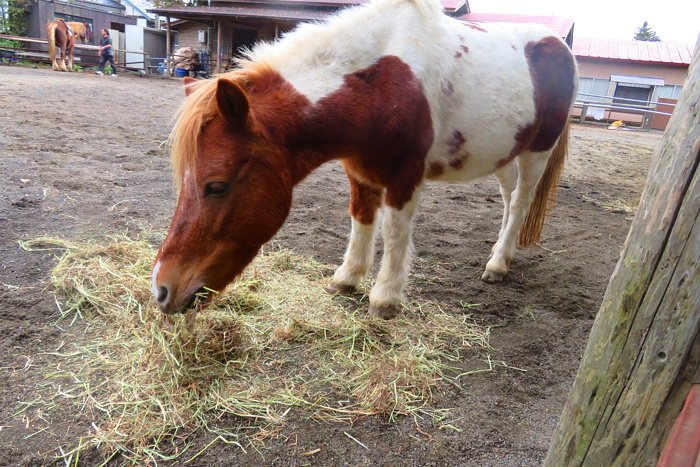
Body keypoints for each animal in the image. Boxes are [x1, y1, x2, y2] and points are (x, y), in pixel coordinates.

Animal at [150, 0, 576, 320]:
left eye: (216, 186)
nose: (162, 290)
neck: (383, 81)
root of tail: (558, 45)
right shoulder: (359, 169)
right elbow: (361, 219)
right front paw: (347, 277)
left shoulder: (405, 175)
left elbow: (394, 231)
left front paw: (385, 297)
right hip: (505, 152)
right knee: (509, 199)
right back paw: (500, 251)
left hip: (536, 152)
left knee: (521, 202)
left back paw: (499, 263)